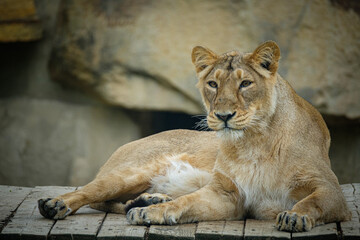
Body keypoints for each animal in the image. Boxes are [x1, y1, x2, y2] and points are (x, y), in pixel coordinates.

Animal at [38, 41, 350, 232]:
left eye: (245, 83)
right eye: (212, 84)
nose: (223, 115)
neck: (253, 142)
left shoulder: (330, 189)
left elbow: (311, 202)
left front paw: (294, 216)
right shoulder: (227, 194)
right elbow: (185, 202)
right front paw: (151, 213)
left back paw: (147, 200)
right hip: (131, 172)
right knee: (89, 193)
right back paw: (55, 205)